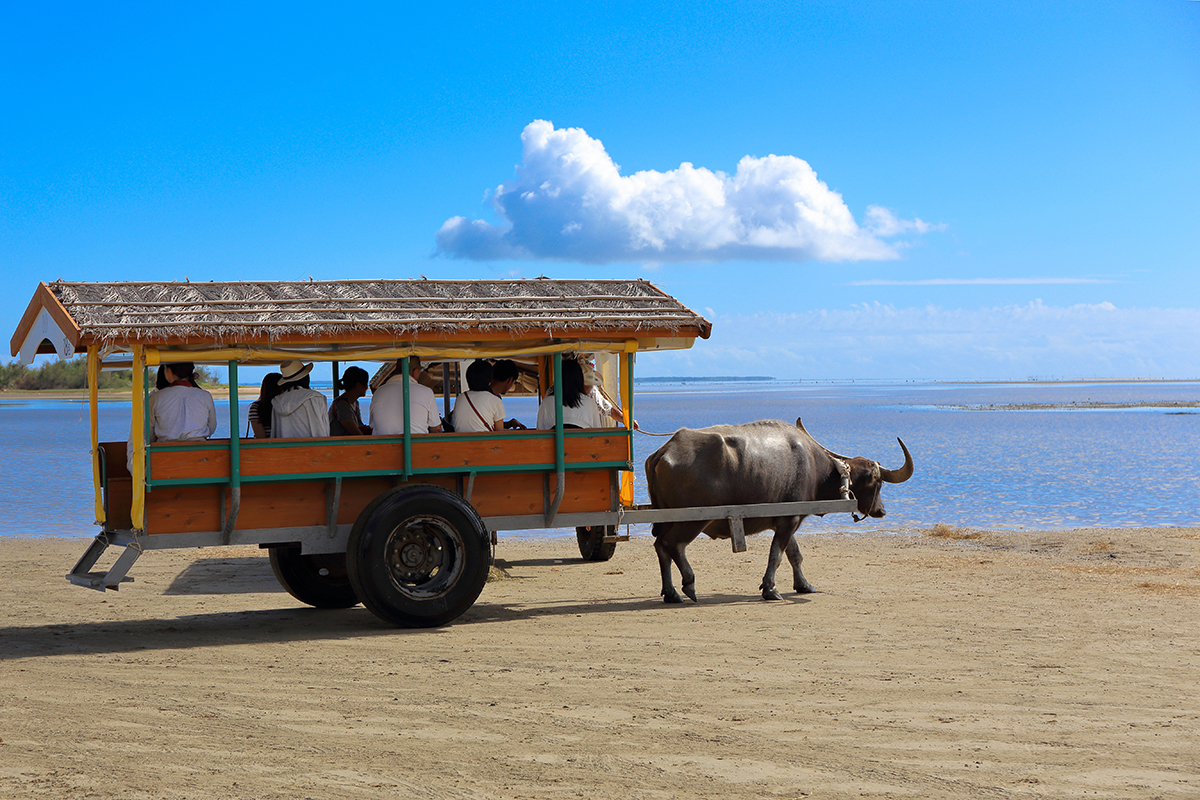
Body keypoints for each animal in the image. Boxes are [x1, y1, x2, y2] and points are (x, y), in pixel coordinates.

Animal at [652, 422, 912, 604]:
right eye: (877, 482)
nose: (881, 511)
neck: (816, 468)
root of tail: (664, 451)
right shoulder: (788, 521)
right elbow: (776, 555)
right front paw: (770, 589)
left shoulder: (788, 521)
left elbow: (794, 555)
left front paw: (804, 585)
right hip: (693, 520)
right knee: (673, 545)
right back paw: (688, 585)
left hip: (666, 519)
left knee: (660, 546)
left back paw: (671, 593)